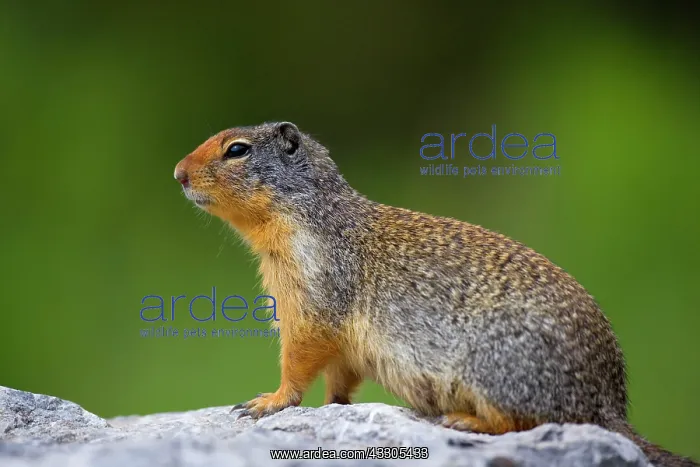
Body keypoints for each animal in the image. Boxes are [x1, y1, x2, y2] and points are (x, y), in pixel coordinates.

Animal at [174, 122, 697, 467]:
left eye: (237, 149)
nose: (178, 173)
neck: (310, 216)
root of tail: (609, 404)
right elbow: (340, 372)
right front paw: (333, 404)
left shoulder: (314, 289)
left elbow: (301, 353)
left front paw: (267, 400)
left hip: (496, 368)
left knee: (526, 421)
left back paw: (466, 422)